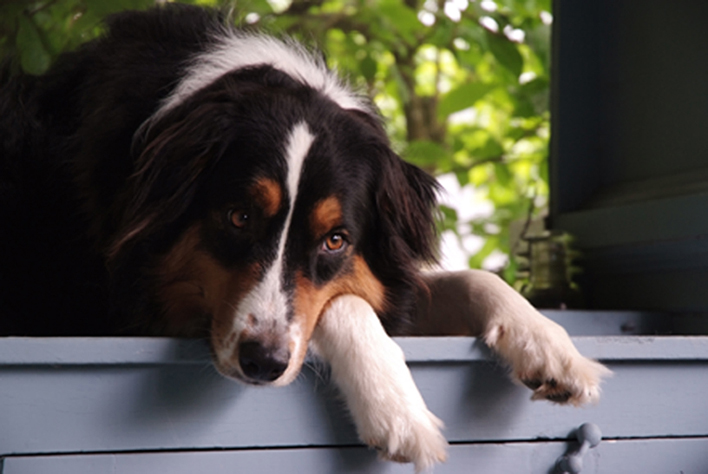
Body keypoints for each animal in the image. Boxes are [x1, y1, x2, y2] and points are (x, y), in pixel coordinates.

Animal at [0, 5, 608, 472]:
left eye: (336, 240)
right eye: (238, 217)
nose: (263, 364)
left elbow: (460, 279)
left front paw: (551, 345)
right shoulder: (131, 299)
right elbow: (344, 304)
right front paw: (400, 411)